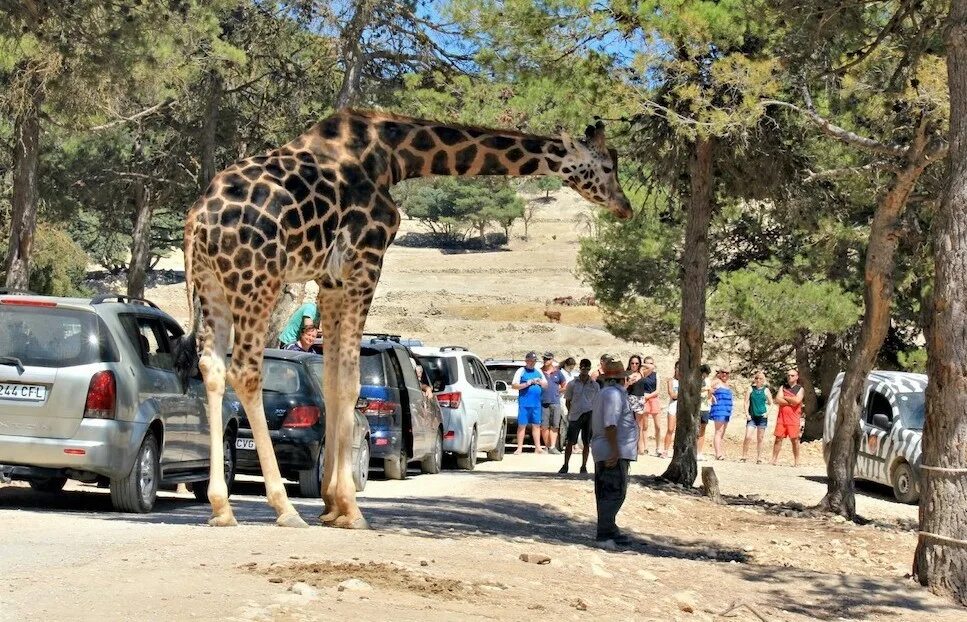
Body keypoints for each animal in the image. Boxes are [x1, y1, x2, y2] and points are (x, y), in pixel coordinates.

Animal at [184, 109, 632, 528]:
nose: (624, 206)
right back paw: (284, 508)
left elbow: (332, 379)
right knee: (245, 370)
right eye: (607, 166)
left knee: (212, 367)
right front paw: (350, 508)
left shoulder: (330, 278)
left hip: (211, 284)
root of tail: (197, 223)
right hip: (257, 279)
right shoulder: (365, 261)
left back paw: (221, 507)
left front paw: (330, 506)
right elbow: (350, 382)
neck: (394, 155)